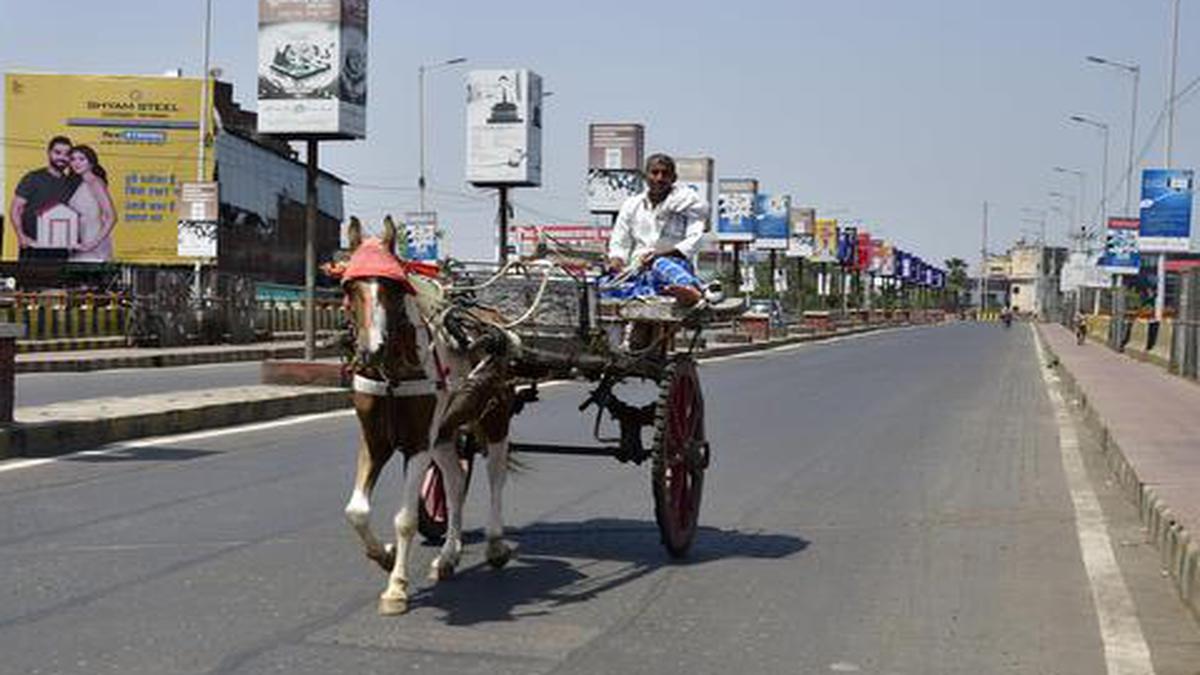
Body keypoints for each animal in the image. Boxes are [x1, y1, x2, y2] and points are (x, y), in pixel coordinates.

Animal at [333, 216, 516, 614]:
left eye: (392, 287)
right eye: (351, 286)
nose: (371, 350)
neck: (393, 372)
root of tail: (495, 319)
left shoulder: (417, 442)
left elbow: (406, 519)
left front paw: (396, 587)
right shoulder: (375, 440)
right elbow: (355, 511)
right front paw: (384, 556)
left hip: (495, 419)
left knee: (496, 476)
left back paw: (495, 544)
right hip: (445, 433)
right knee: (455, 483)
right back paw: (448, 556)